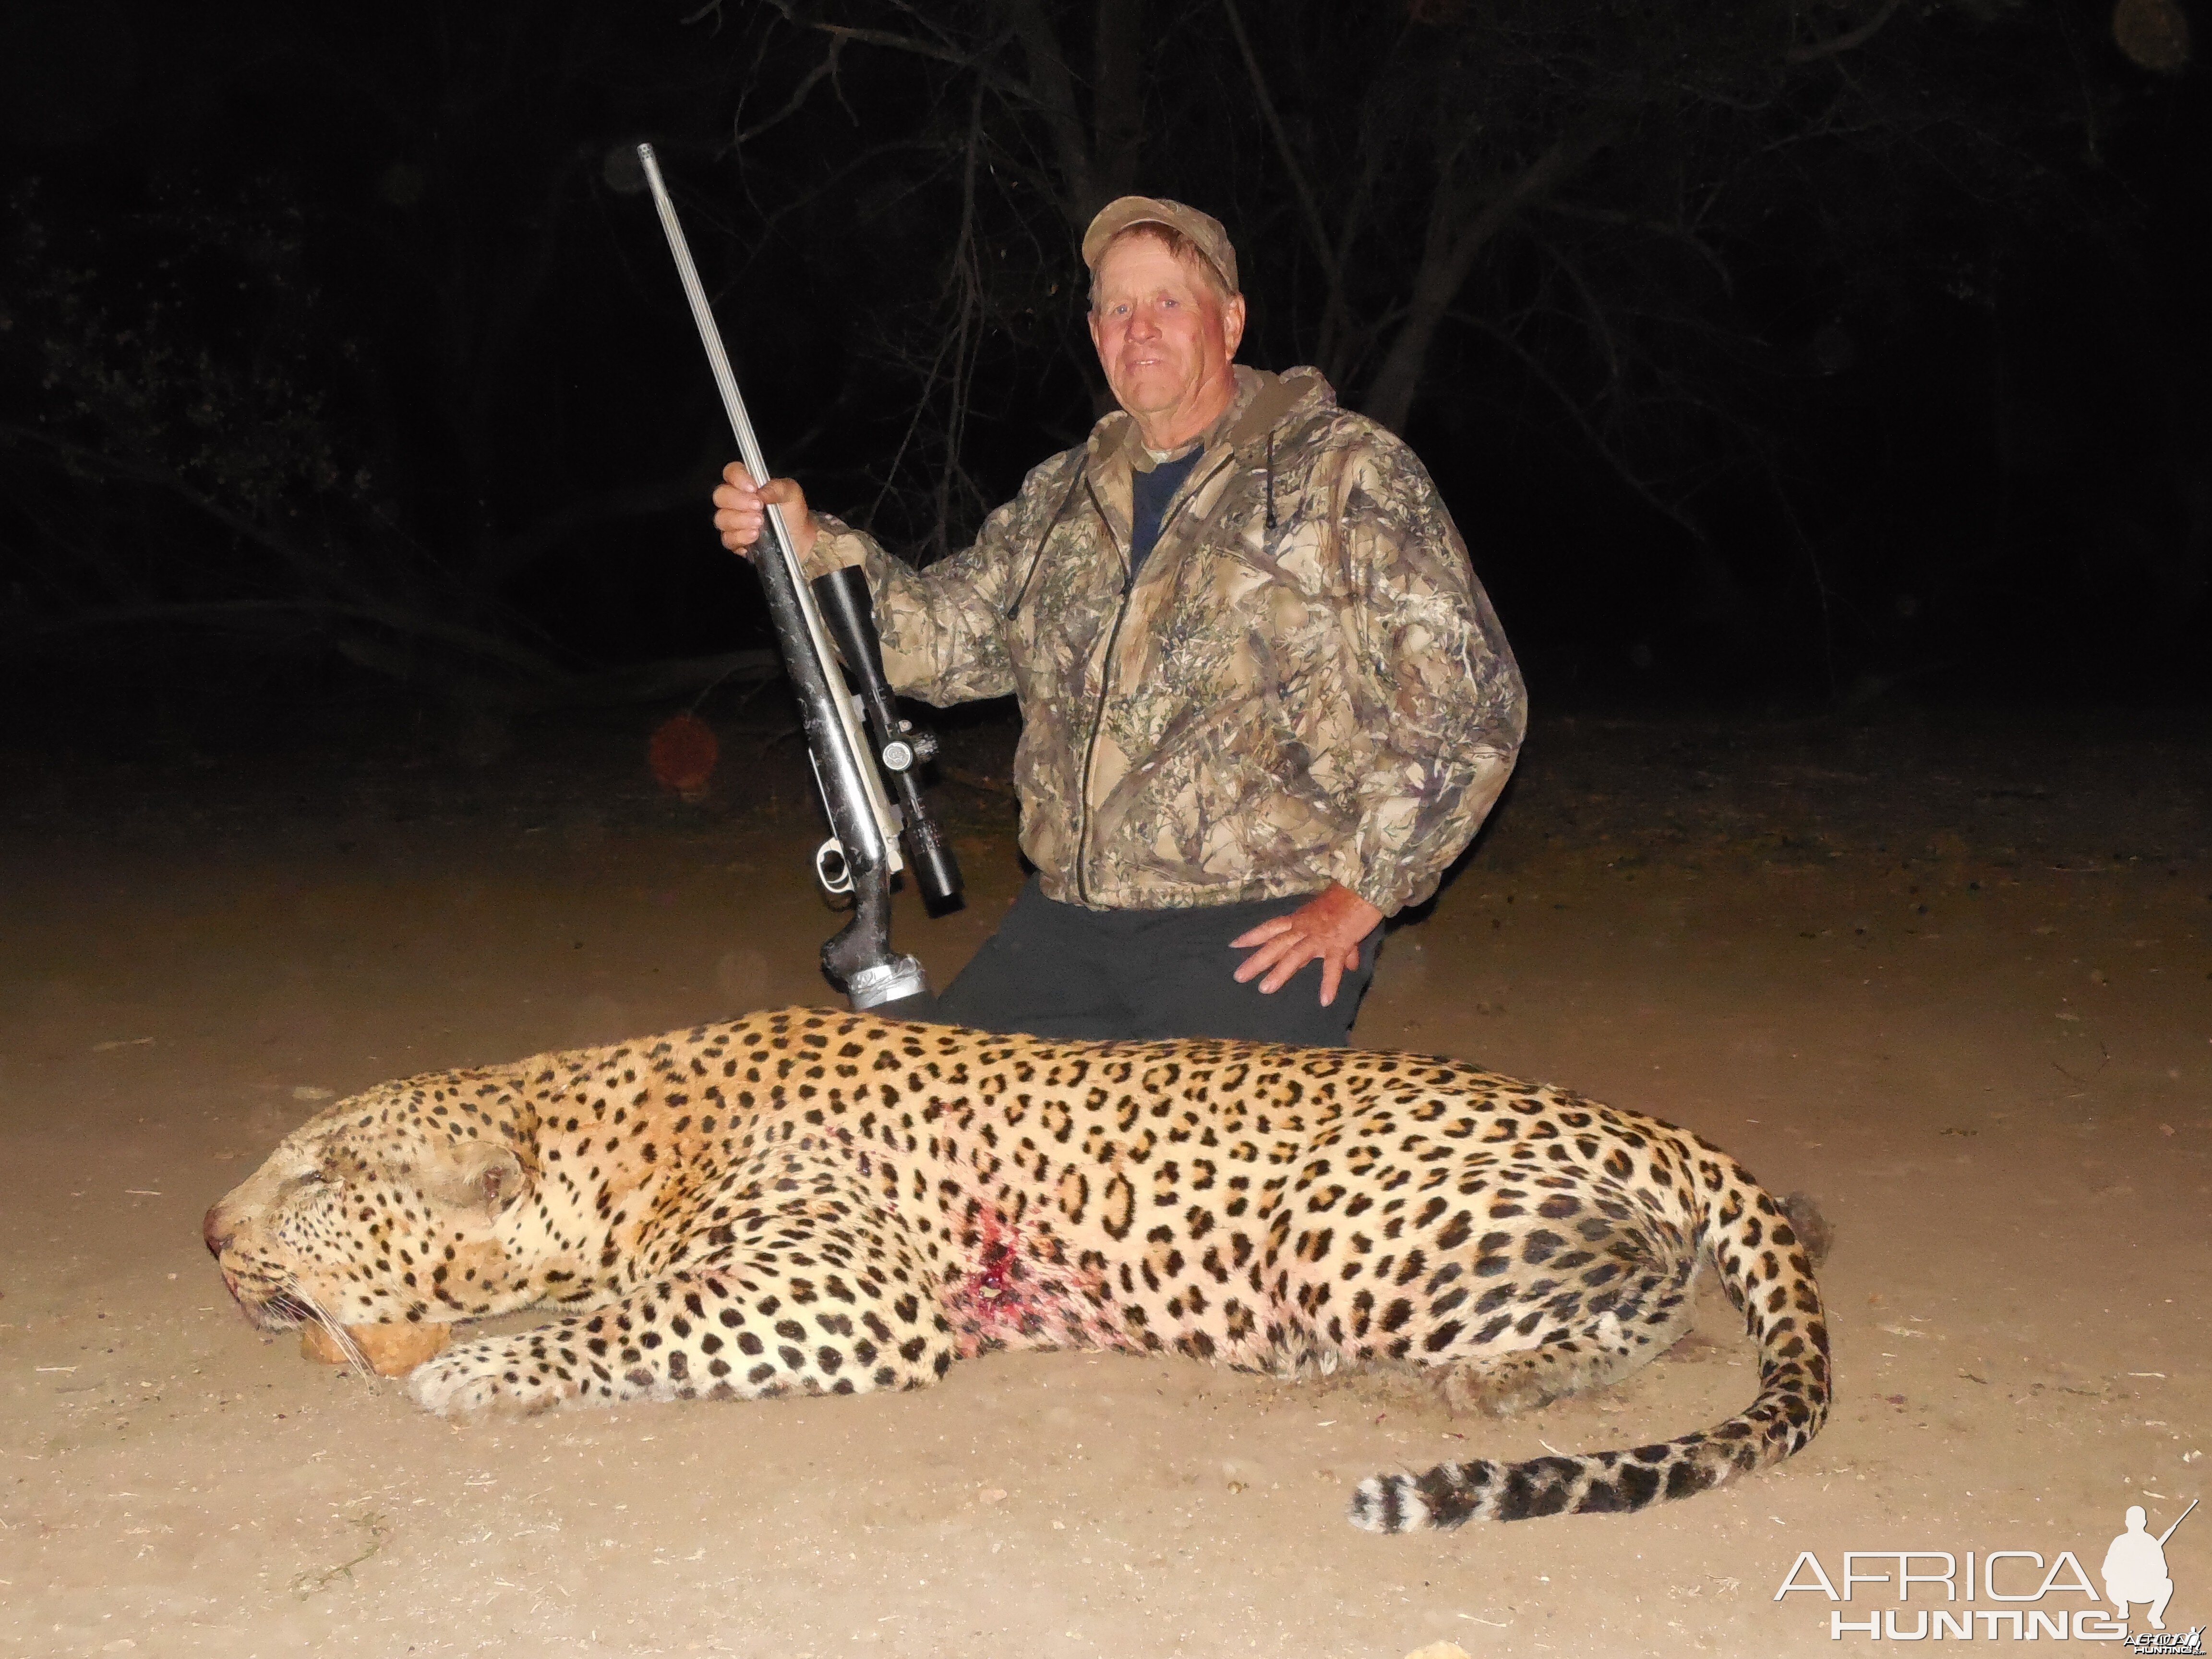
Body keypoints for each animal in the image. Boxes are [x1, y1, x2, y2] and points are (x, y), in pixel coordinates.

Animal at [208, 999, 1831, 1530]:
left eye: (319, 1174)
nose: (210, 1235)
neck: (603, 1137)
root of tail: (1646, 1121)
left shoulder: (849, 1293)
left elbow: (631, 1313)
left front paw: (481, 1366)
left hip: (1349, 1238)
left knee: (1652, 1292)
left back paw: (1497, 1380)